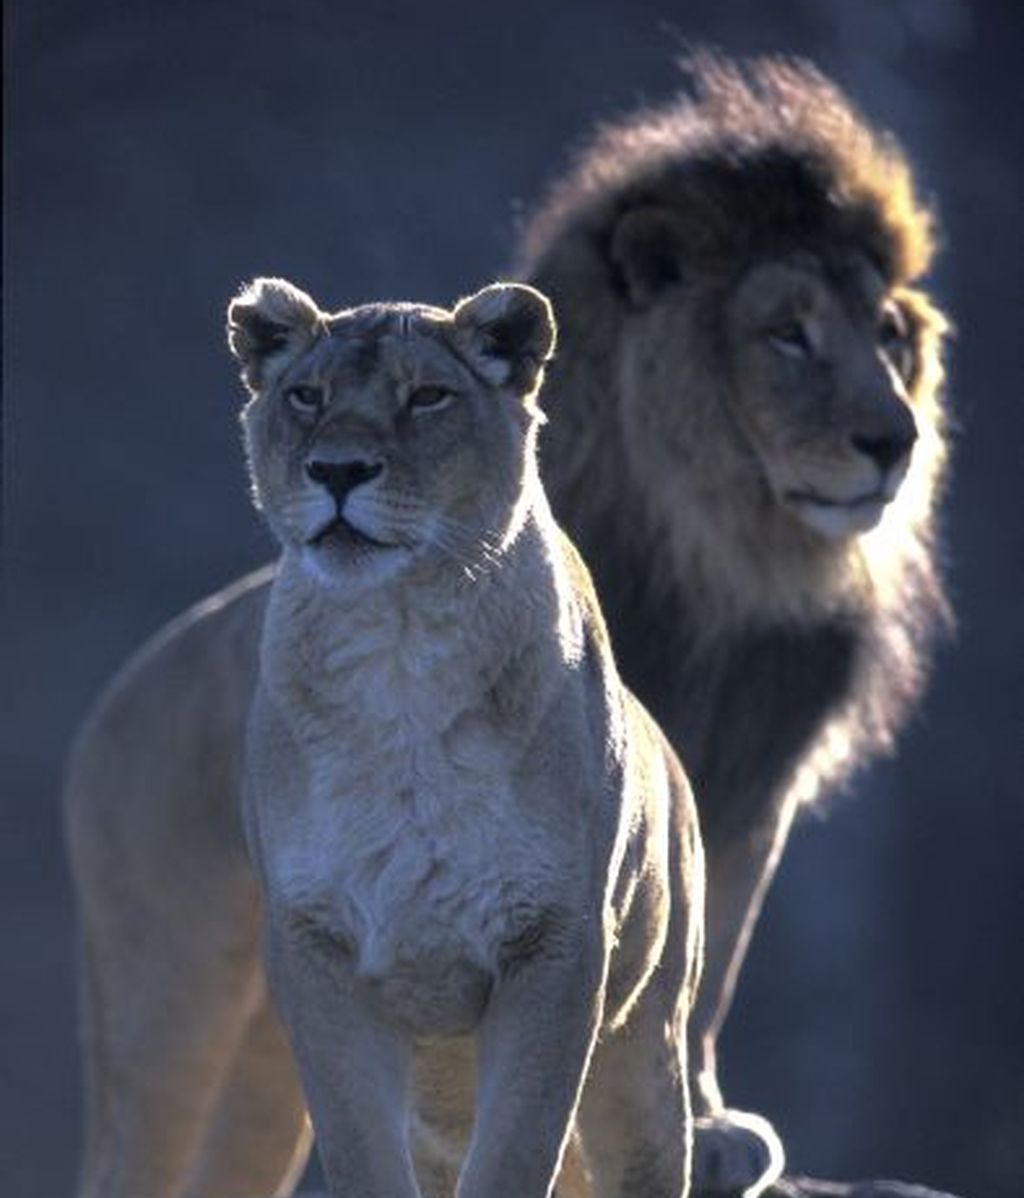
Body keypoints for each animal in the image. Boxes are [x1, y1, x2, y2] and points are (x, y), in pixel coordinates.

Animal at [231, 274, 703, 1198]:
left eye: (427, 397)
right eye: (308, 397)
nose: (338, 470)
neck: (398, 640)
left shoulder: (557, 943)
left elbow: (520, 1148)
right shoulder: (314, 945)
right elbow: (361, 1150)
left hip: (643, 1063)